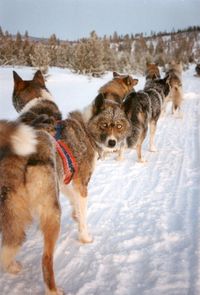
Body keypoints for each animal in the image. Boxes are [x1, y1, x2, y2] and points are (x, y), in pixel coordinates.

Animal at [0, 70, 131, 294]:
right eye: (105, 125)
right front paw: (85, 237)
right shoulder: (81, 186)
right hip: (52, 216)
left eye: (119, 125)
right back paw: (53, 289)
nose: (113, 142)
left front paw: (77, 217)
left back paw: (13, 266)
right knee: (45, 260)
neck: (86, 127)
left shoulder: (67, 182)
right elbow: (84, 216)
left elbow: (76, 208)